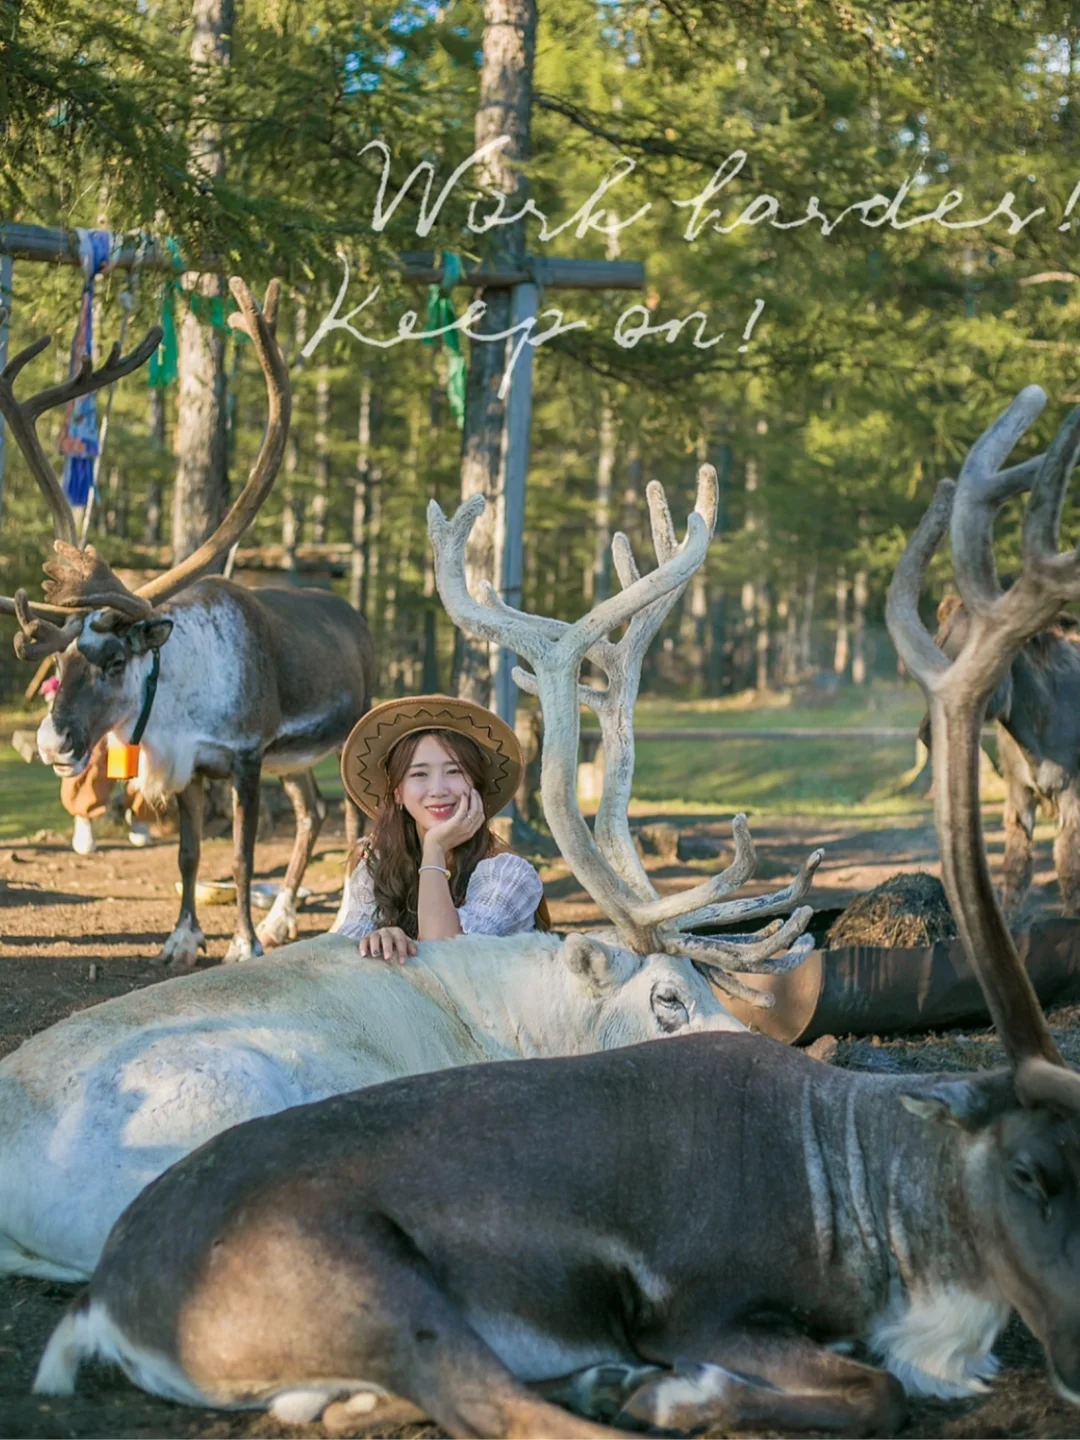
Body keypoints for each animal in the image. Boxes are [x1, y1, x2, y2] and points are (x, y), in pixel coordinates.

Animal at [0, 278, 374, 962]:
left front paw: (242, 945)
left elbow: (243, 857)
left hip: (345, 732)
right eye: (57, 661)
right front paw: (181, 939)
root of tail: (351, 613)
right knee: (312, 813)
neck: (173, 695)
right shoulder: (192, 769)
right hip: (294, 758)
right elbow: (190, 855)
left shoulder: (246, 757)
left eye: (115, 661)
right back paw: (282, 918)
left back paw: (330, 920)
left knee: (352, 819)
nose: (50, 743)